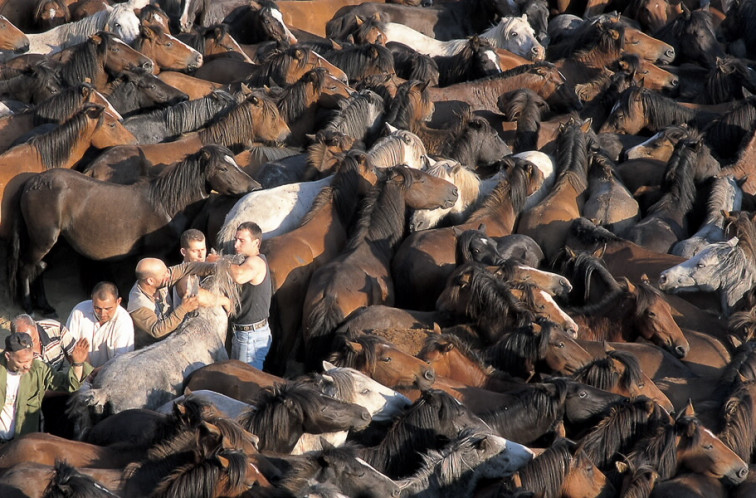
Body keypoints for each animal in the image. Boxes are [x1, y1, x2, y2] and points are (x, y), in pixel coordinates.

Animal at [9, 146, 256, 314]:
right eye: (223, 168)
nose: (255, 186)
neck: (166, 204)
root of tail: (32, 182)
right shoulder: (157, 253)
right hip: (43, 239)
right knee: (27, 266)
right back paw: (29, 306)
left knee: (39, 267)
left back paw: (45, 306)